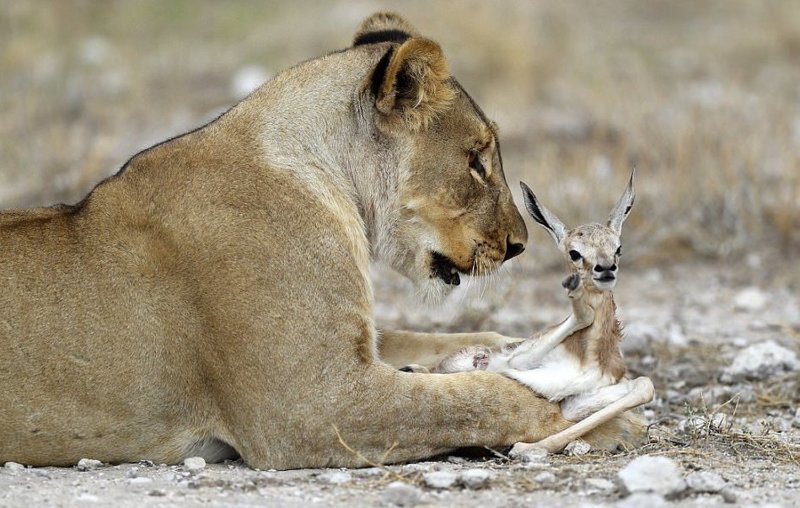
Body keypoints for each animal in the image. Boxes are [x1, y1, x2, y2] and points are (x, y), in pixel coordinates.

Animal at [0, 13, 644, 470]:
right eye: (477, 159)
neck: (322, 176)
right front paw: (600, 416)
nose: (518, 245)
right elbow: (479, 398)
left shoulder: (351, 349)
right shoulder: (310, 405)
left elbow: (462, 346)